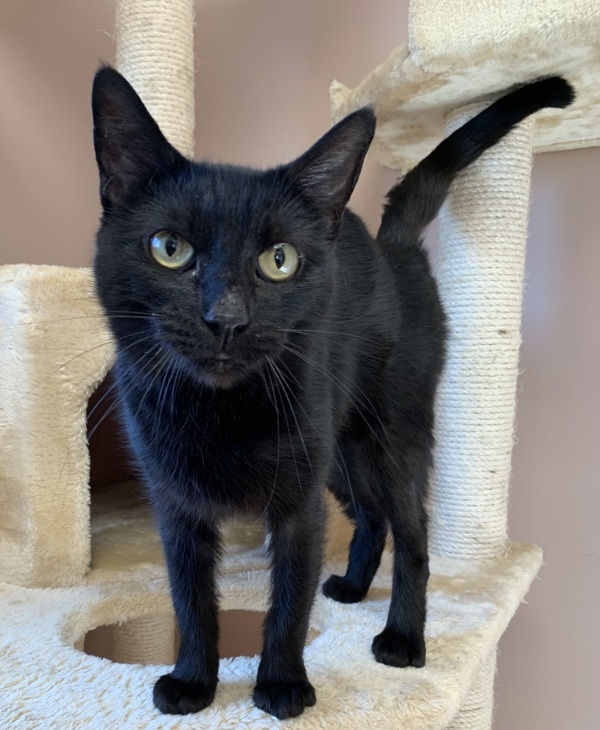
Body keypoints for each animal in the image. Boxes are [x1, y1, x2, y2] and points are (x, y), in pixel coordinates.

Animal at [91, 68, 576, 716]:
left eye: (279, 261)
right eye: (169, 249)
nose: (227, 318)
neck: (220, 411)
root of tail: (391, 245)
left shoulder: (299, 505)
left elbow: (290, 601)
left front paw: (281, 683)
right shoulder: (177, 504)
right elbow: (189, 596)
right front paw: (193, 681)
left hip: (394, 437)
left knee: (412, 537)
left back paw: (403, 637)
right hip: (342, 455)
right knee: (372, 517)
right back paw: (350, 587)